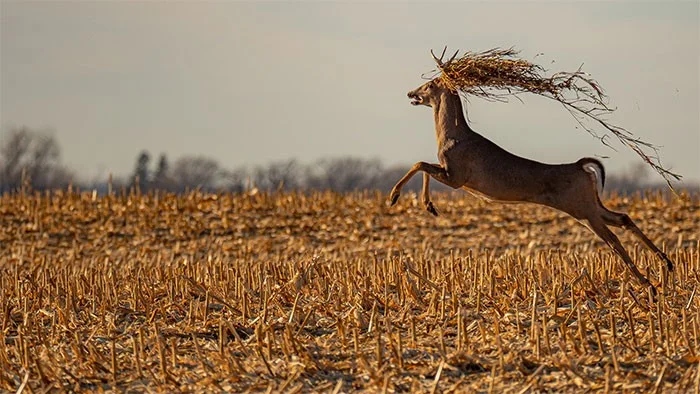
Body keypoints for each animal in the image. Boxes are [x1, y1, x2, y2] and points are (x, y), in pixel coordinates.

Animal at [392, 49, 676, 294]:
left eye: (429, 85)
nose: (410, 92)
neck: (452, 135)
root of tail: (580, 166)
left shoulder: (457, 175)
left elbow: (419, 164)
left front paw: (398, 197)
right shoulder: (452, 174)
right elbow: (423, 166)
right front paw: (428, 206)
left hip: (581, 207)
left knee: (613, 239)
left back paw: (649, 284)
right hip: (589, 204)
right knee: (623, 218)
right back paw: (666, 264)